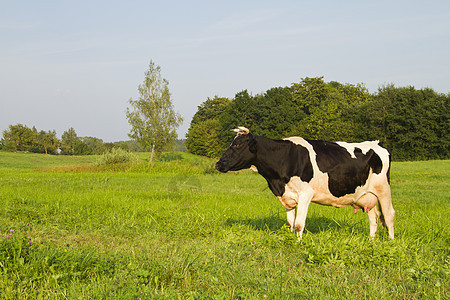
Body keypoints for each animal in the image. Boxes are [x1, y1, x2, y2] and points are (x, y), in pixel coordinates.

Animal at [214, 126, 394, 241]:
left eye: (237, 145)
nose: (218, 164)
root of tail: (376, 143)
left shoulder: (305, 194)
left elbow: (299, 224)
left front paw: (298, 243)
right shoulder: (288, 195)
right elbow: (290, 223)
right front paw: (290, 239)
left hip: (384, 190)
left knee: (389, 215)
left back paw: (390, 242)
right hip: (366, 195)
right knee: (374, 217)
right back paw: (371, 241)